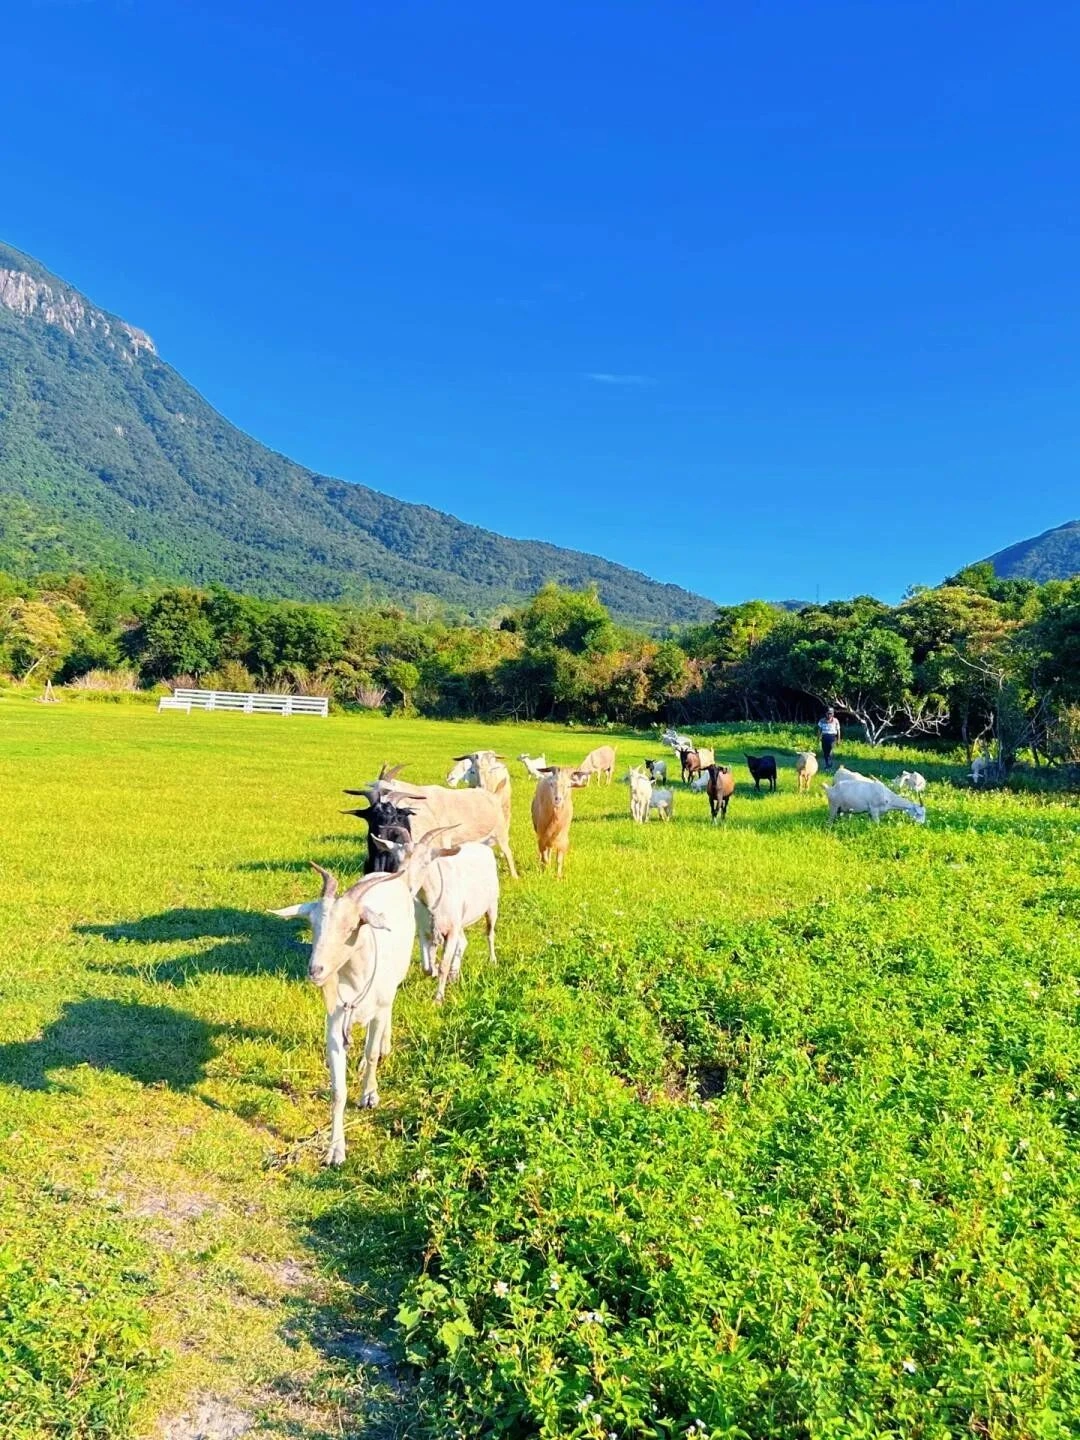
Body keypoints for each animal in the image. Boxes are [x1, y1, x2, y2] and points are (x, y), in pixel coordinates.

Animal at [269, 858, 417, 1163]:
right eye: (313, 924)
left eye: (351, 927)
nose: (316, 970)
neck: (355, 981)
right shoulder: (335, 1024)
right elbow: (338, 1090)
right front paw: (335, 1150)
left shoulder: (378, 1009)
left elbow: (371, 1053)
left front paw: (369, 1095)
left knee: (387, 1016)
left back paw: (383, 1048)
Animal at [344, 771, 518, 881]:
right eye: (370, 817)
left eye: (395, 817)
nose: (380, 835)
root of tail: (494, 795)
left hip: (500, 832)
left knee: (508, 852)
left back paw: (514, 876)